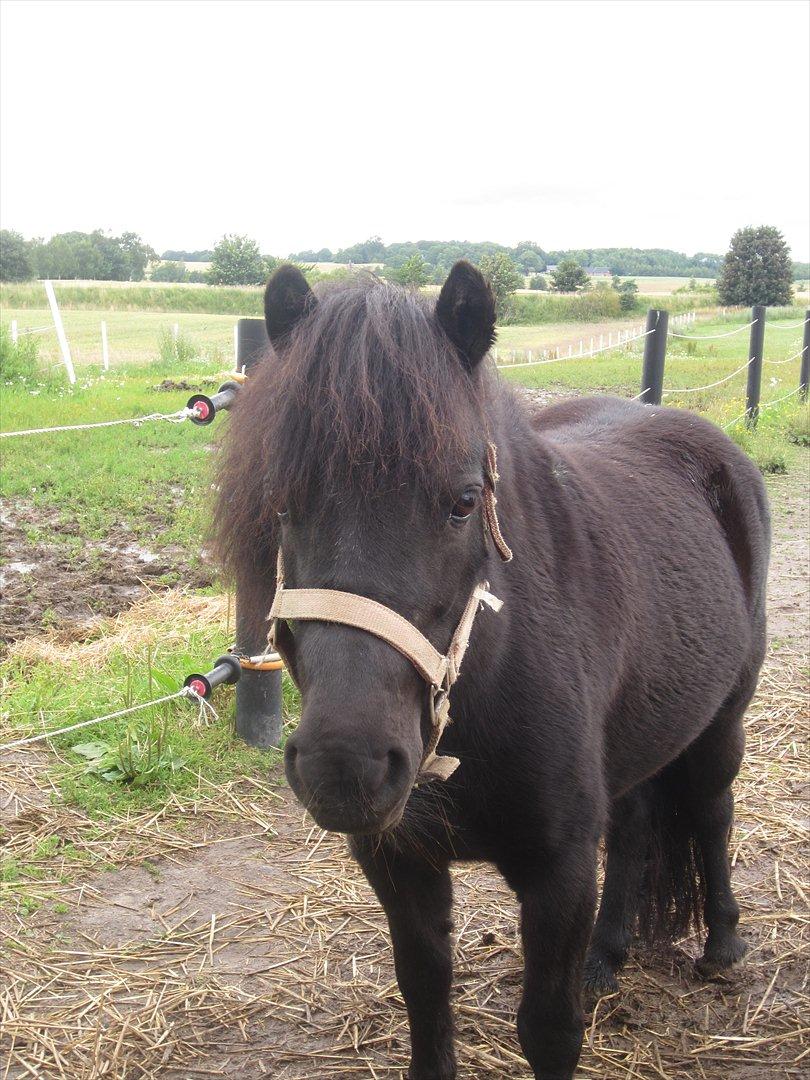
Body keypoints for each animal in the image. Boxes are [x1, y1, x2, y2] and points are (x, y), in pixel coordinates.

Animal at [217, 263, 773, 1080]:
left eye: (463, 502)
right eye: (283, 503)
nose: (345, 768)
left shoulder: (558, 872)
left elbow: (549, 1028)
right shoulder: (401, 863)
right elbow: (425, 1000)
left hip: (721, 724)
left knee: (711, 812)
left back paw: (723, 945)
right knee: (636, 825)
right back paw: (607, 956)